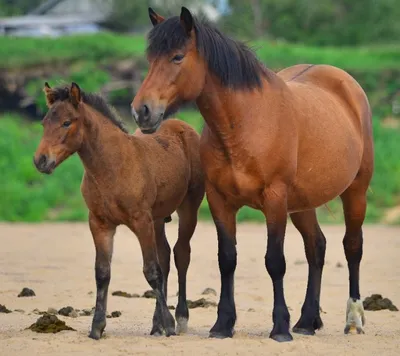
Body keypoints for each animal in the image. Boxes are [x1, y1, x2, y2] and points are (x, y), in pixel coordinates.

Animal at [32, 81, 205, 340]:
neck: (112, 167)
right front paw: (97, 327)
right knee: (164, 255)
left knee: (180, 254)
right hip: (157, 219)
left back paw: (180, 319)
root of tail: (183, 126)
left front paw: (169, 324)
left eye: (66, 122)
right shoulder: (100, 223)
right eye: (44, 122)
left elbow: (151, 271)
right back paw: (156, 325)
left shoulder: (141, 220)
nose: (40, 160)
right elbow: (103, 272)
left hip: (188, 208)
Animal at [131, 6, 376, 342]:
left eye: (177, 56)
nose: (141, 111)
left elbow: (275, 261)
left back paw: (352, 319)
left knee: (352, 247)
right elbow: (227, 259)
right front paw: (223, 324)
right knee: (316, 248)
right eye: (151, 58)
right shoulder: (220, 201)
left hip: (355, 192)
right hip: (302, 204)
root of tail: (345, 84)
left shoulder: (274, 200)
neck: (245, 122)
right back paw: (307, 320)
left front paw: (280, 327)